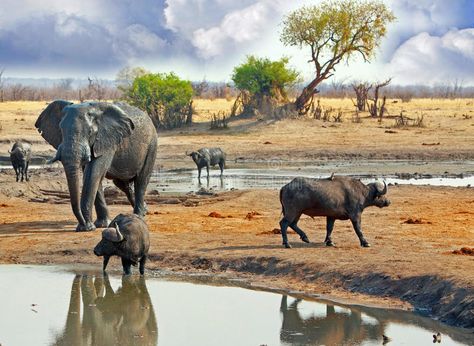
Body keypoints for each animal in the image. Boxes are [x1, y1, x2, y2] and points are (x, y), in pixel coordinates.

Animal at [34, 99, 159, 232]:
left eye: (90, 132)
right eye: (61, 130)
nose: (84, 225)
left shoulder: (107, 140)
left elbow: (93, 173)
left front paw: (88, 228)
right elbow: (92, 176)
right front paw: (100, 225)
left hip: (152, 144)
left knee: (141, 180)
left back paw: (138, 216)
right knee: (122, 184)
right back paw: (144, 210)